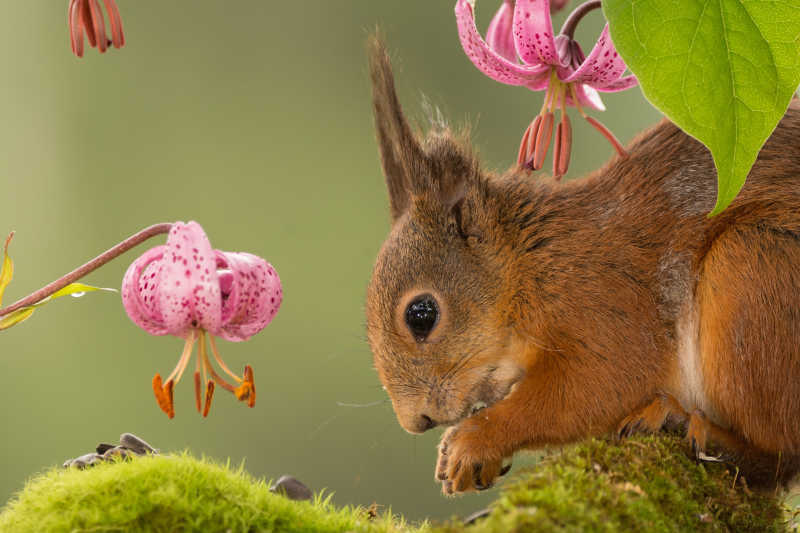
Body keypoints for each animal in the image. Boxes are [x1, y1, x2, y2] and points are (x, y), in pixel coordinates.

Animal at [368, 37, 800, 494]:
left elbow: (599, 384)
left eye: (421, 315)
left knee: (781, 455)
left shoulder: (606, 302)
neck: (530, 263)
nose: (416, 421)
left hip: (751, 270)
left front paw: (476, 439)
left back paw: (688, 425)